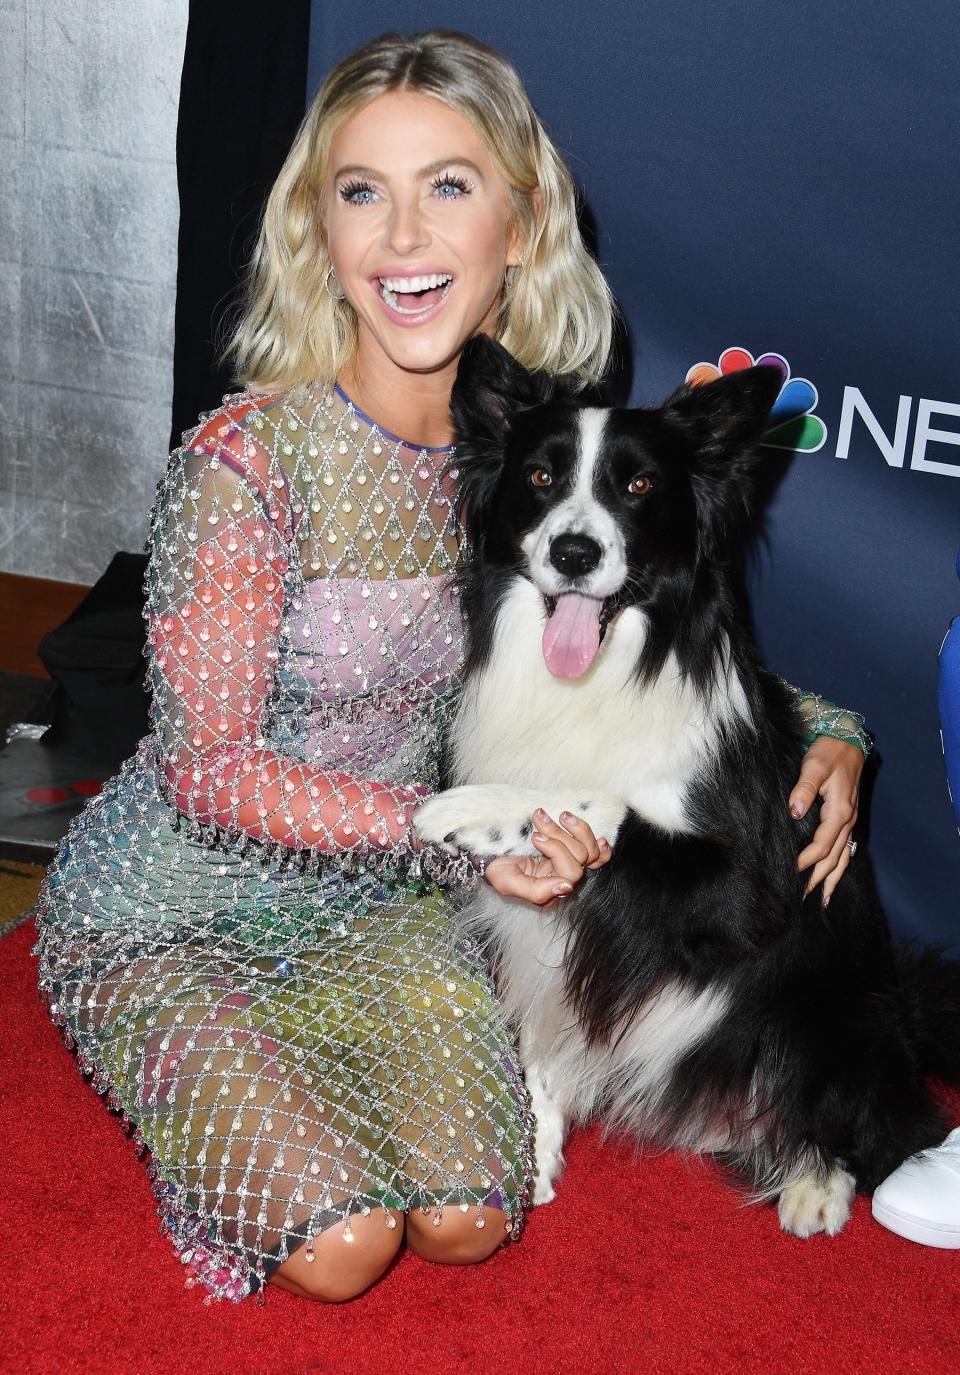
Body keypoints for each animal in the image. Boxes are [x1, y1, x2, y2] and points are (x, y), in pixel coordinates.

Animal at [415, 332, 957, 1237]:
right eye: (540, 477)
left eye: (639, 486)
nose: (573, 553)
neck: (597, 675)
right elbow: (541, 1013)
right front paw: (540, 1143)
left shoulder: (748, 884)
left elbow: (602, 802)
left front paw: (467, 809)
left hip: (828, 1009)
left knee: (887, 1124)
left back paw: (818, 1180)